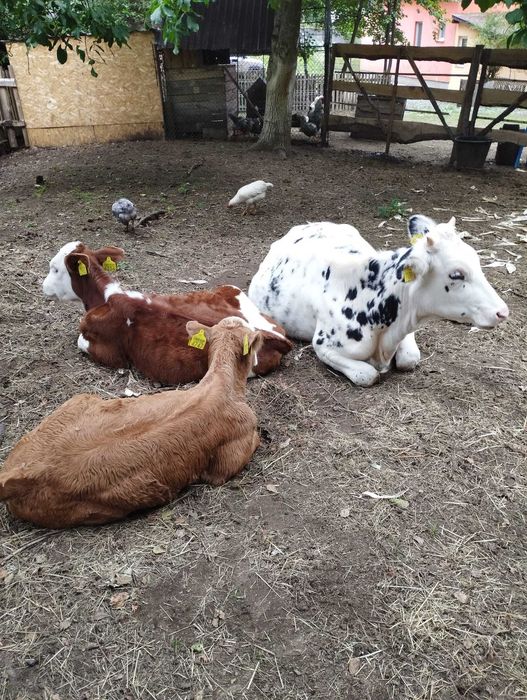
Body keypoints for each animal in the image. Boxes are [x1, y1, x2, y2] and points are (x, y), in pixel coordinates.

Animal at [43, 242, 292, 384]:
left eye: (54, 268)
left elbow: (80, 341)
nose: (42, 286)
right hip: (231, 290)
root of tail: (272, 336)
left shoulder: (109, 352)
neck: (104, 297)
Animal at [248, 215, 509, 387]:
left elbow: (410, 359)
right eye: (456, 274)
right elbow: (368, 375)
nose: (502, 312)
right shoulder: (323, 346)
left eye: (476, 260)